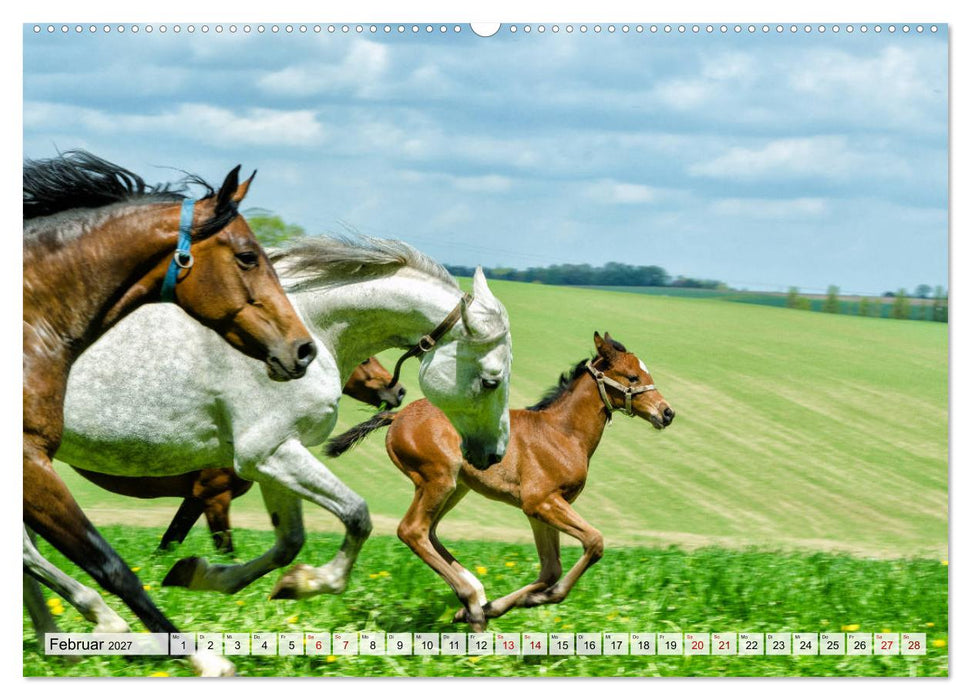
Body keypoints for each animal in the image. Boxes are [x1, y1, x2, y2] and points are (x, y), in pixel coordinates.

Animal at [23, 151, 315, 676]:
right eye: (248, 256)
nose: (303, 350)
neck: (26, 320)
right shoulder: (28, 459)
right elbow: (111, 565)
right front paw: (201, 656)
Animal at [70, 356, 406, 554]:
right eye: (365, 359)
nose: (399, 391)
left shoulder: (195, 500)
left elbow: (168, 544)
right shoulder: (214, 497)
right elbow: (225, 551)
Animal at [325, 332, 674, 631]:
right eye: (632, 377)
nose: (667, 413)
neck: (562, 432)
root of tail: (397, 416)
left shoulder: (539, 511)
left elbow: (551, 568)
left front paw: (505, 604)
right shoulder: (542, 501)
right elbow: (594, 542)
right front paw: (537, 598)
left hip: (456, 487)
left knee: (430, 531)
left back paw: (474, 602)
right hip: (438, 479)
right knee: (412, 530)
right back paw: (471, 601)